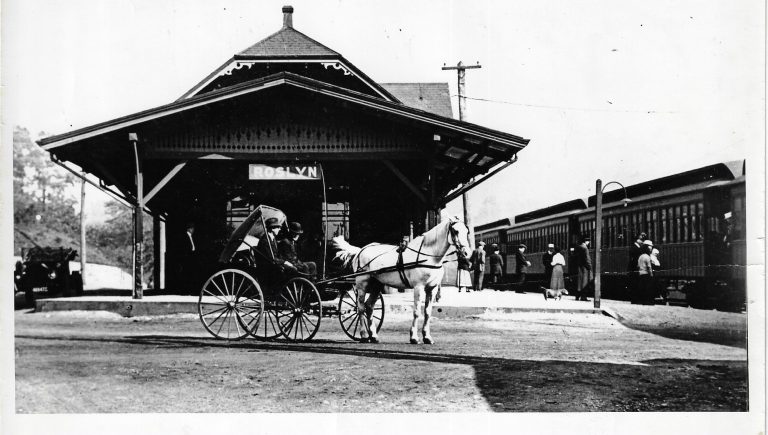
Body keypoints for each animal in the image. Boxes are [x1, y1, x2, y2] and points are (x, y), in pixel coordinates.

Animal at [332, 216, 472, 346]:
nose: (467, 253)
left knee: (369, 306)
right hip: (362, 284)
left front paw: (427, 337)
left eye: (467, 231)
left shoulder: (431, 288)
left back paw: (373, 336)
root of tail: (361, 250)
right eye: (455, 231)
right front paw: (414, 337)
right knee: (360, 307)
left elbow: (427, 312)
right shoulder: (418, 287)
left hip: (377, 285)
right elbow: (416, 312)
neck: (429, 256)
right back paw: (363, 335)